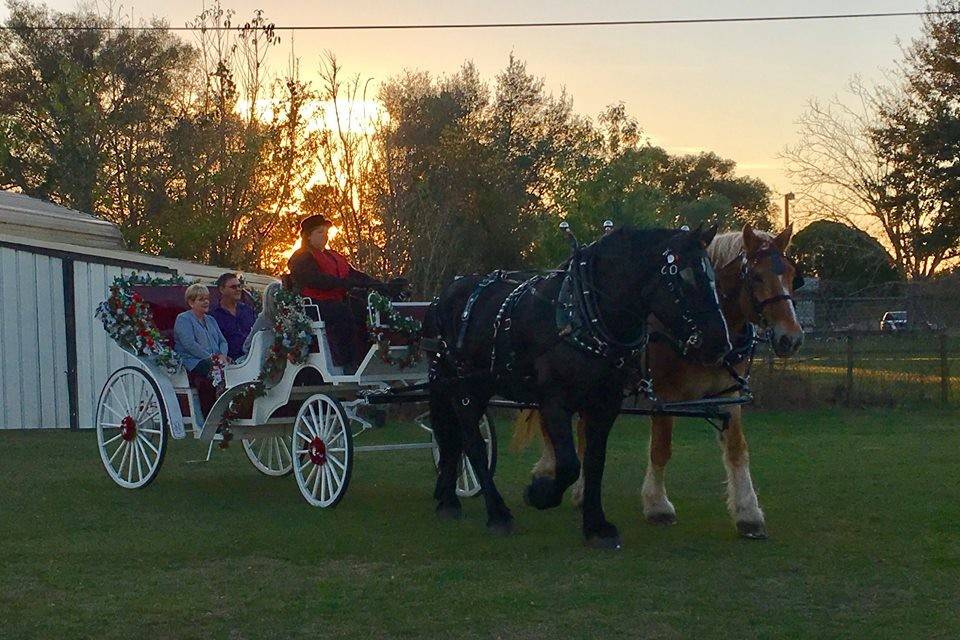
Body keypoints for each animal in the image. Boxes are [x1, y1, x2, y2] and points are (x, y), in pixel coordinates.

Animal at [424, 226, 732, 552]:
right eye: (682, 278)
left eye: (712, 276)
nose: (720, 344)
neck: (583, 317)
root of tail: (442, 296)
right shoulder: (554, 402)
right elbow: (570, 464)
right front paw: (539, 493)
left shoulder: (605, 405)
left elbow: (595, 461)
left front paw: (597, 525)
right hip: (461, 388)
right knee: (472, 444)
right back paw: (495, 513)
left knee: (454, 441)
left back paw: (448, 499)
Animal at [528, 225, 808, 540]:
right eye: (757, 276)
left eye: (792, 275)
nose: (791, 338)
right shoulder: (665, 395)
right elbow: (661, 449)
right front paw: (657, 505)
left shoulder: (729, 394)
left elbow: (737, 449)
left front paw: (748, 513)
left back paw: (580, 491)